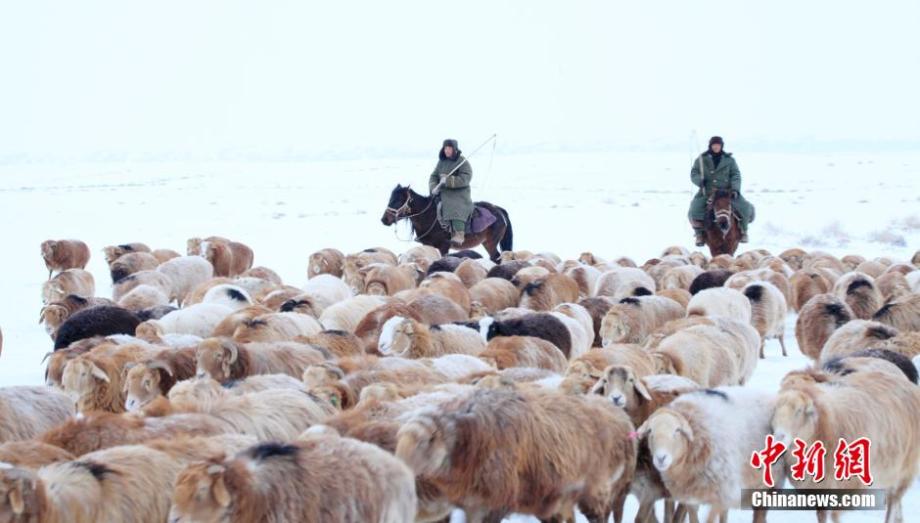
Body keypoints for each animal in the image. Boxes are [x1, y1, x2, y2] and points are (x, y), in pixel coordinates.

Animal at [380, 185, 512, 264]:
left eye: (398, 200)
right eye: (390, 199)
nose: (384, 219)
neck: (430, 215)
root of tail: (498, 210)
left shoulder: (444, 246)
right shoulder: (427, 245)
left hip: (491, 243)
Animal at [396, 386, 640, 520]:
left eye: (426, 442)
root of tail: (622, 417)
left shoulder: (493, 504)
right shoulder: (473, 504)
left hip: (599, 491)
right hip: (561, 498)